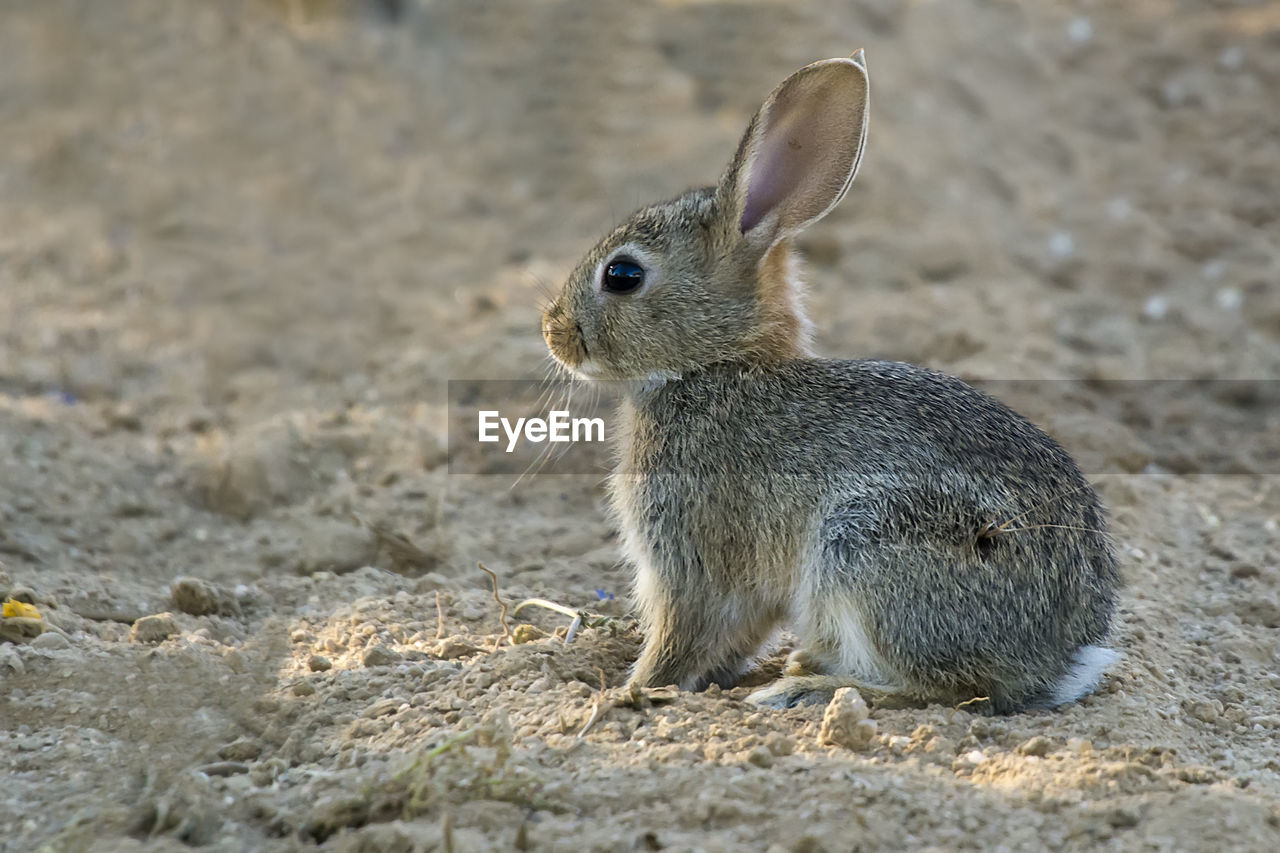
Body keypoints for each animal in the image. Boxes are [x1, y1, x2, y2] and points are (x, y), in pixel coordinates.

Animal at [540, 49, 1121, 706]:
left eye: (622, 275)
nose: (552, 331)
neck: (716, 366)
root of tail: (1058, 658)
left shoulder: (690, 558)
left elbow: (680, 635)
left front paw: (631, 691)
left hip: (864, 547)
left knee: (945, 692)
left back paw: (805, 690)